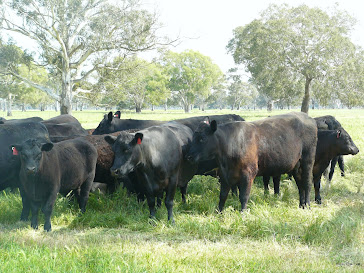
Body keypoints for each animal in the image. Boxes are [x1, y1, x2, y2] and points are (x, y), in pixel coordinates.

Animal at [186, 111, 318, 209]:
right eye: (193, 136)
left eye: (202, 138)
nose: (188, 156)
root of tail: (309, 118)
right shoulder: (224, 175)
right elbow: (223, 196)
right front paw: (219, 212)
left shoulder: (248, 174)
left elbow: (244, 196)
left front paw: (242, 214)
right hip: (296, 166)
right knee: (300, 185)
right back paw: (301, 205)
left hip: (307, 160)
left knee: (307, 183)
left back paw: (308, 205)